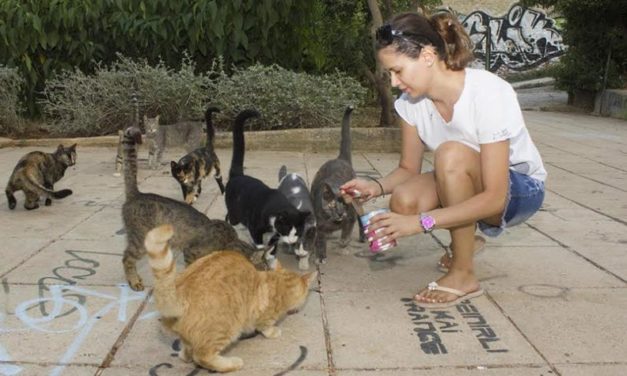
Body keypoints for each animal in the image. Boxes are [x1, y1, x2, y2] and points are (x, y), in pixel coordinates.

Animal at [120, 126, 268, 290]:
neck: (229, 243)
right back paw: (134, 280)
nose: (270, 279)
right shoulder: (190, 251)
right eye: (265, 269)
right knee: (126, 258)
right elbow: (191, 269)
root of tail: (137, 194)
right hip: (140, 241)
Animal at [145, 223, 316, 374]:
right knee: (202, 356)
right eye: (263, 267)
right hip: (226, 329)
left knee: (189, 350)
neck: (277, 284)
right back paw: (231, 364)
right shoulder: (262, 315)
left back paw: (185, 355)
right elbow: (264, 325)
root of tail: (179, 293)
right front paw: (272, 331)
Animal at [226, 108, 312, 268]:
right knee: (230, 218)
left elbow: (272, 248)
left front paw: (271, 259)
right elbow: (260, 244)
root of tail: (238, 175)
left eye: (297, 232)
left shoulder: (274, 235)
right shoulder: (256, 227)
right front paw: (261, 256)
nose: (292, 241)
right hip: (235, 210)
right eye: (287, 229)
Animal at [310, 105, 366, 264]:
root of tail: (341, 158)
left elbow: (346, 234)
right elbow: (320, 241)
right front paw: (320, 256)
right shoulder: (319, 225)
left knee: (361, 216)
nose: (341, 213)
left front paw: (343, 244)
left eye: (345, 204)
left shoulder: (350, 218)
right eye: (333, 204)